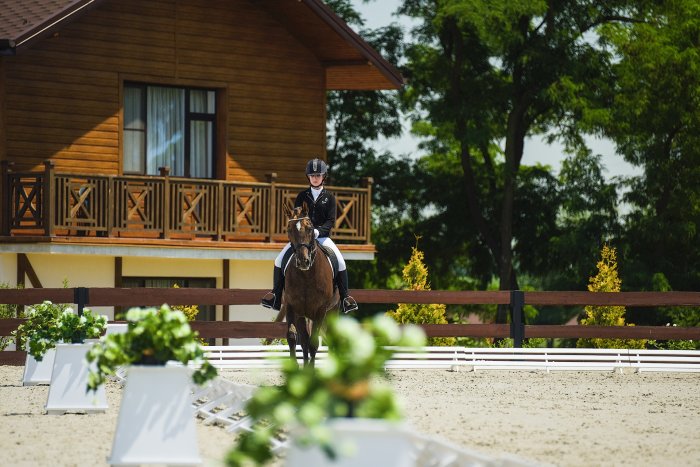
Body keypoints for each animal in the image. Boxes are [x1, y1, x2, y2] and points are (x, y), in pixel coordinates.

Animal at [282, 202, 339, 367]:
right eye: (289, 229)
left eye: (310, 228)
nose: (303, 261)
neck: (306, 276)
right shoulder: (292, 307)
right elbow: (293, 337)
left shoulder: (320, 310)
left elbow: (313, 343)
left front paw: (311, 370)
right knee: (304, 340)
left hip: (332, 310)